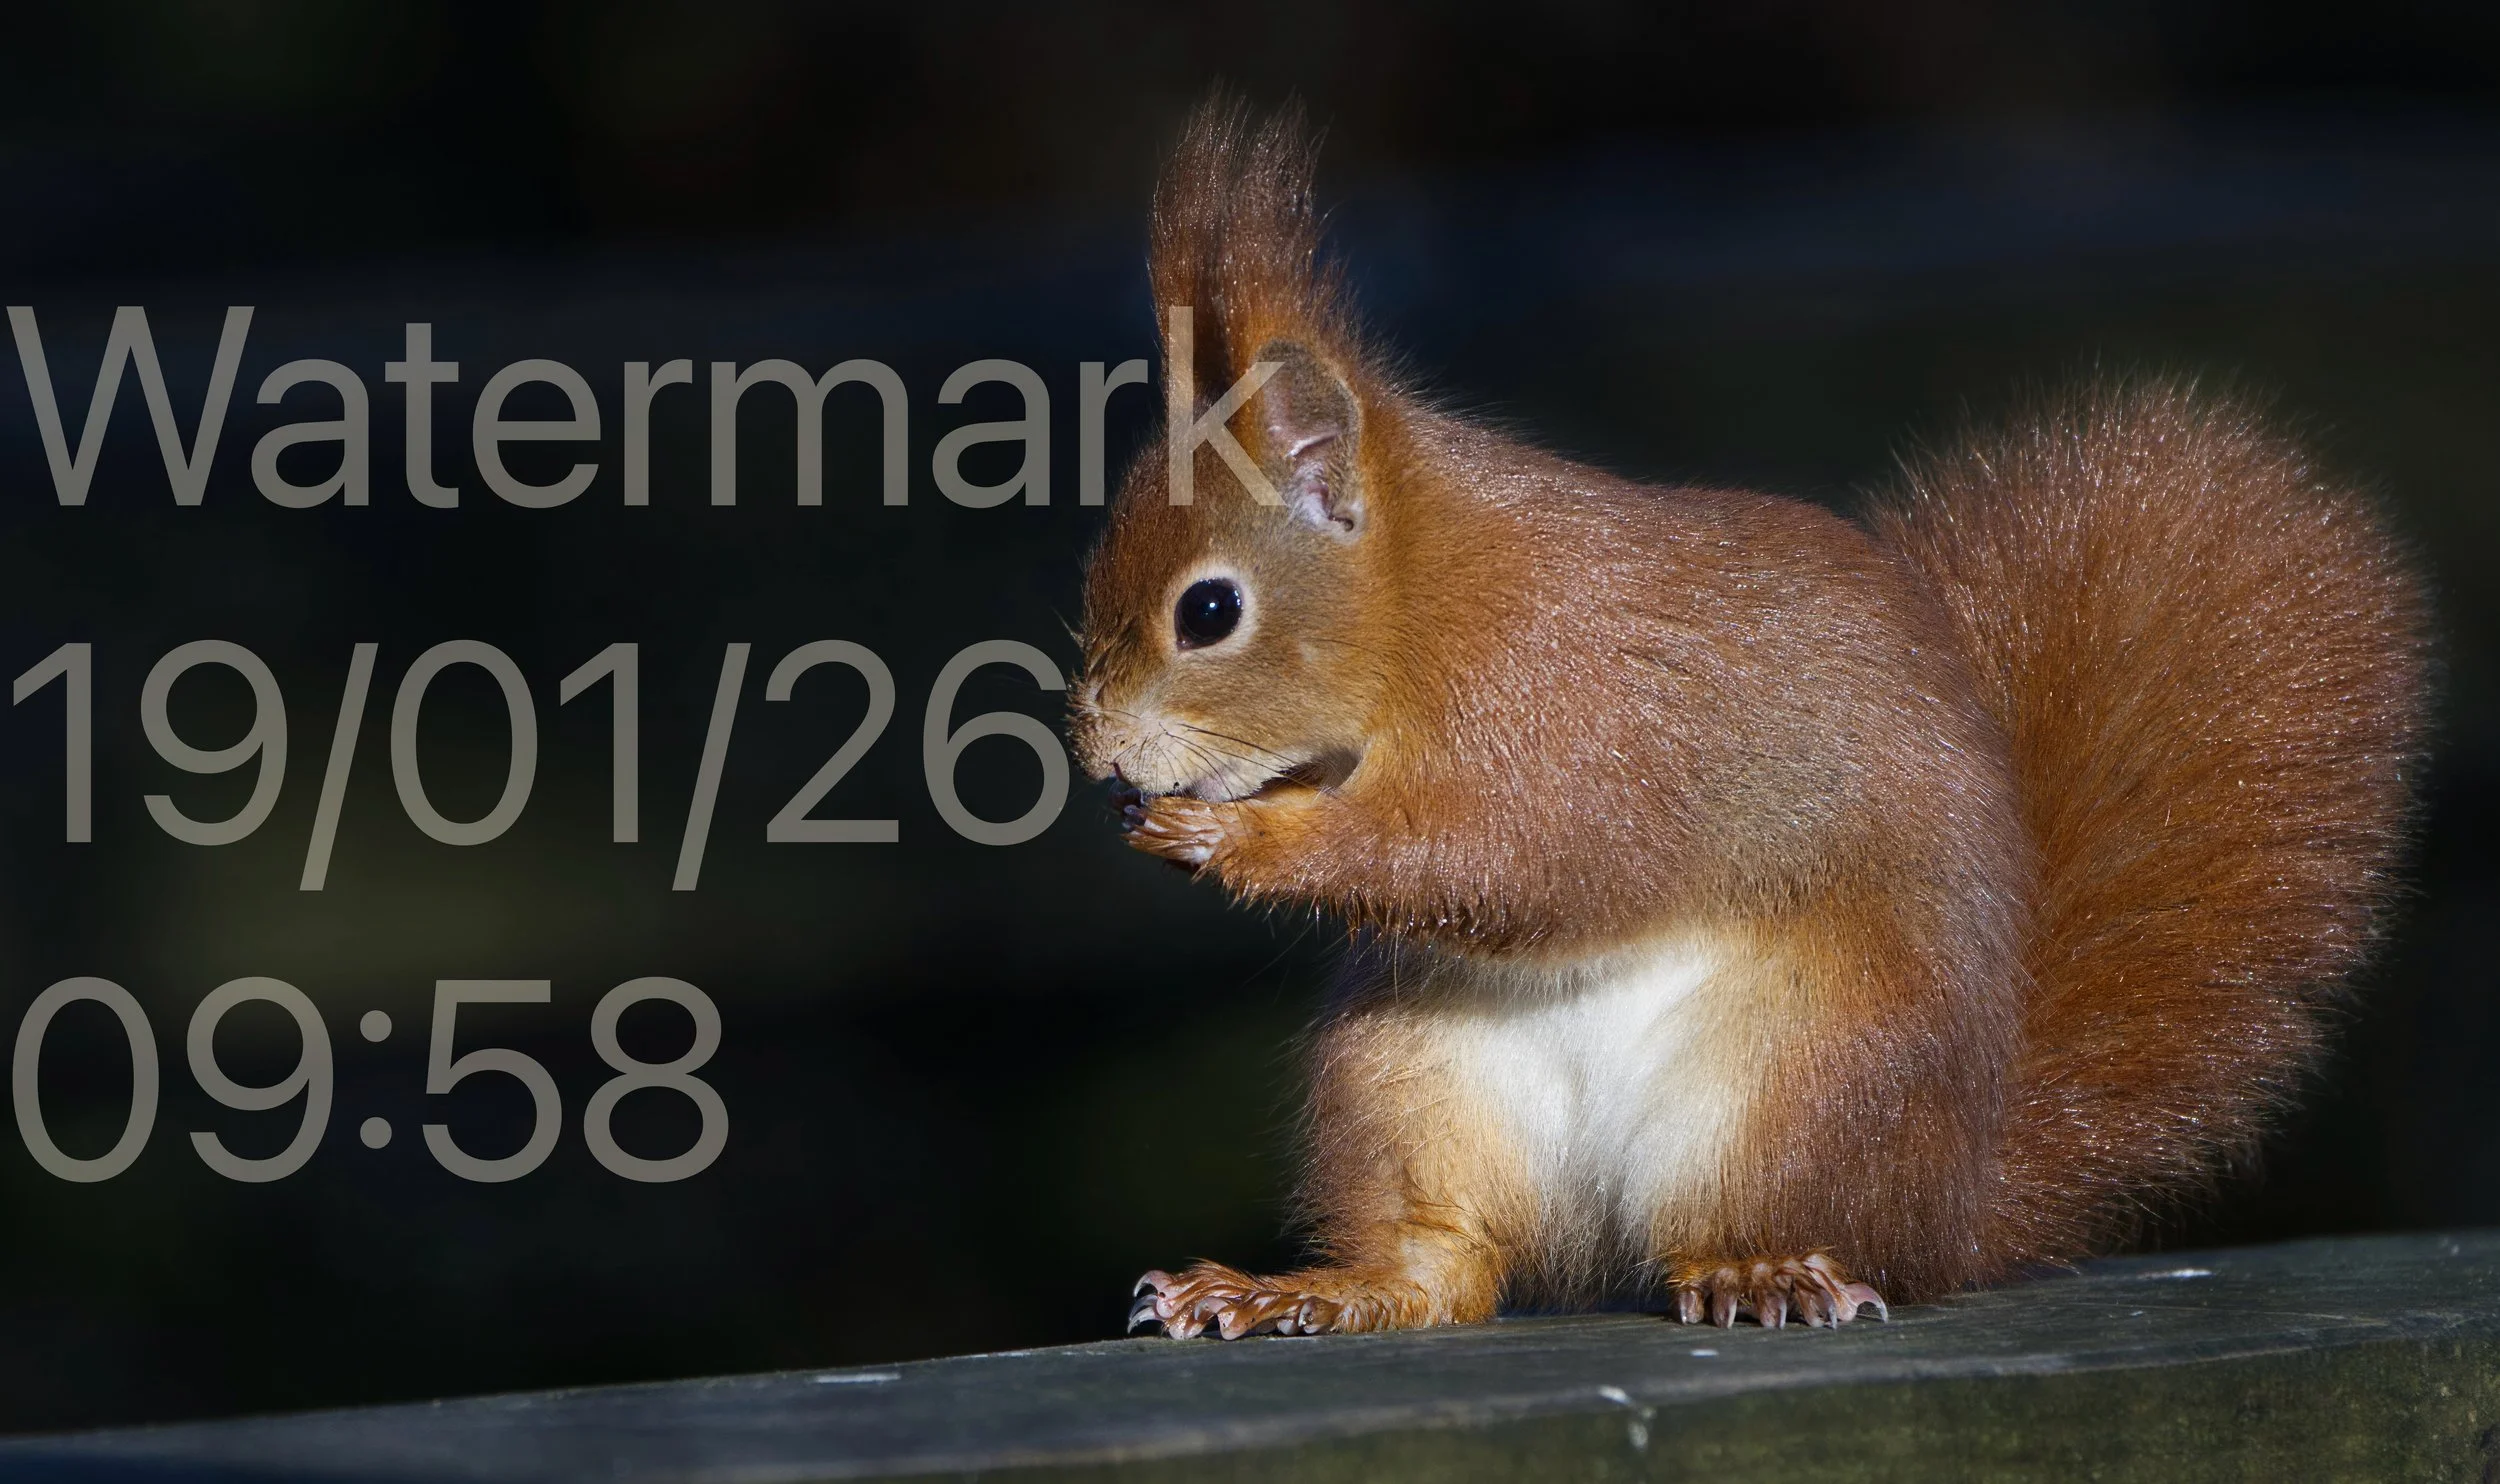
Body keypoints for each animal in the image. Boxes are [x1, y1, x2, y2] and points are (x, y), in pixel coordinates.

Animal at [1070, 99, 2431, 1335]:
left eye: (1207, 609)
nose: (1094, 750)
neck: (1427, 605)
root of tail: (1950, 1207)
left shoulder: (1569, 711)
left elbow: (1502, 853)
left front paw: (1236, 836)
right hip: (1406, 1076)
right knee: (1445, 1262)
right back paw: (1311, 1290)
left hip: (1803, 1071)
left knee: (1757, 1218)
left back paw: (1759, 1269)